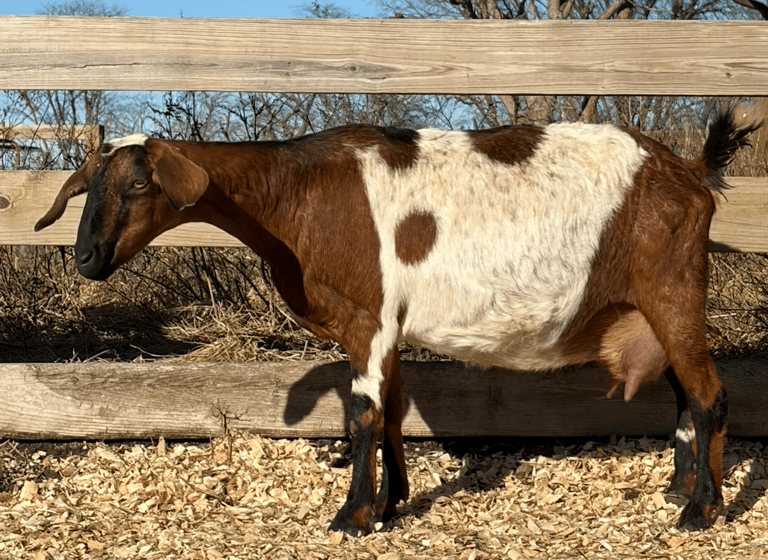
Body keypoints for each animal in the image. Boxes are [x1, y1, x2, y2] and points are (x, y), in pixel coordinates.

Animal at [36, 108, 759, 535]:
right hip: (652, 307)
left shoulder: (368, 318)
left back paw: (702, 510)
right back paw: (677, 489)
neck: (297, 194)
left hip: (673, 290)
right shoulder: (387, 328)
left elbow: (362, 415)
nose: (86, 257)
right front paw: (390, 505)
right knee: (683, 394)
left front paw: (353, 515)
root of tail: (689, 169)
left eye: (138, 186)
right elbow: (391, 412)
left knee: (710, 395)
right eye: (86, 189)